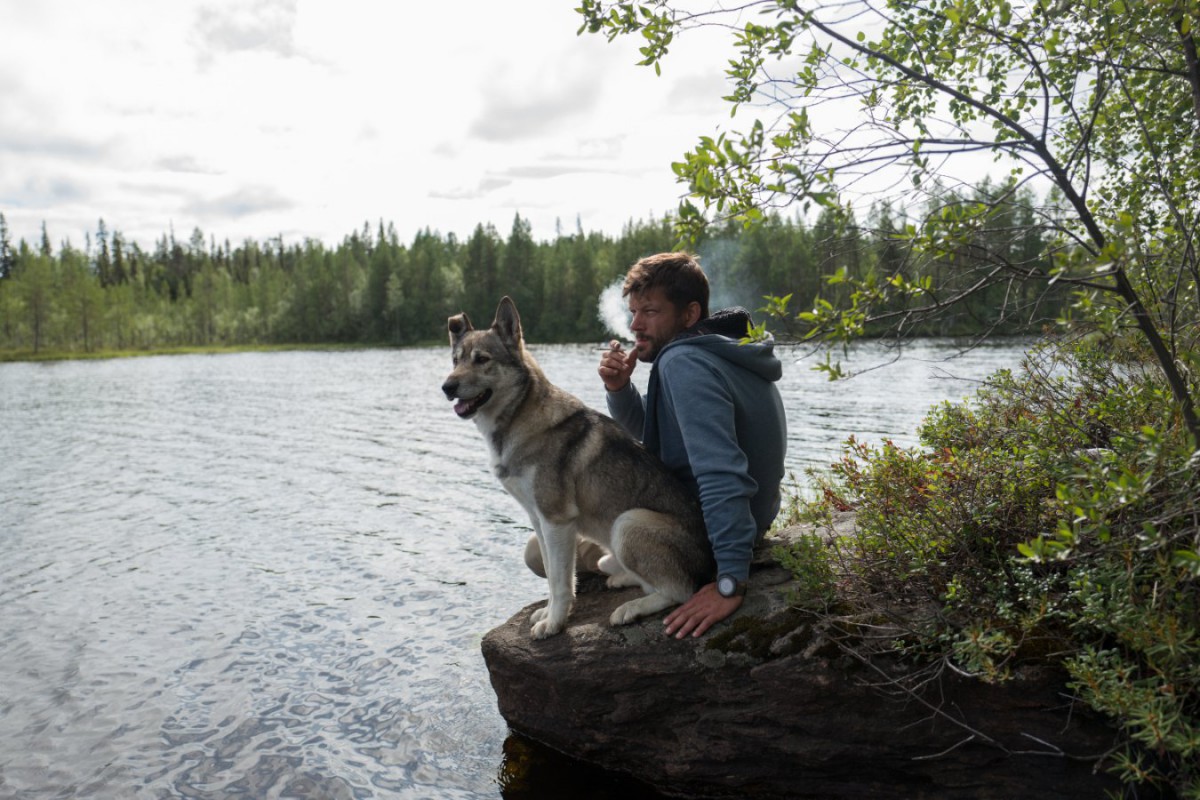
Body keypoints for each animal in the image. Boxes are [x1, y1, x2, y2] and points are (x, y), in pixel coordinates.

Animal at [446, 297, 715, 642]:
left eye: (482, 359)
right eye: (455, 361)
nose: (447, 386)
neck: (517, 421)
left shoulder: (557, 521)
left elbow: (561, 584)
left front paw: (554, 624)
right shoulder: (539, 520)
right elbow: (552, 577)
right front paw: (548, 614)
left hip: (627, 523)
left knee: (681, 592)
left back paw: (631, 608)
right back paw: (623, 579)